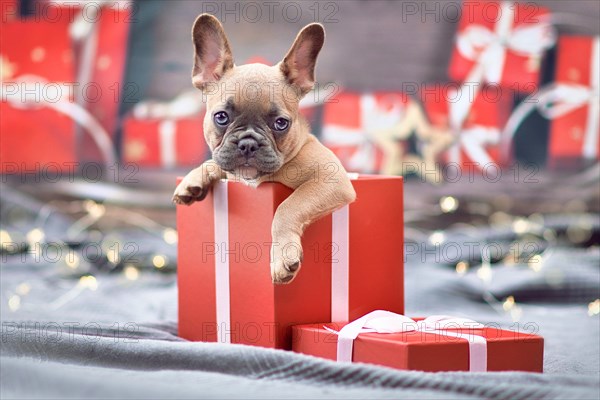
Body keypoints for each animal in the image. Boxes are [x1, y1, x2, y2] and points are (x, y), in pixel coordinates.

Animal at [171, 14, 354, 284]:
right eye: (221, 117)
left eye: (281, 123)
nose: (248, 143)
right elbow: (216, 163)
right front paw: (193, 179)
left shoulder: (331, 181)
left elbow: (288, 206)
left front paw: (283, 257)